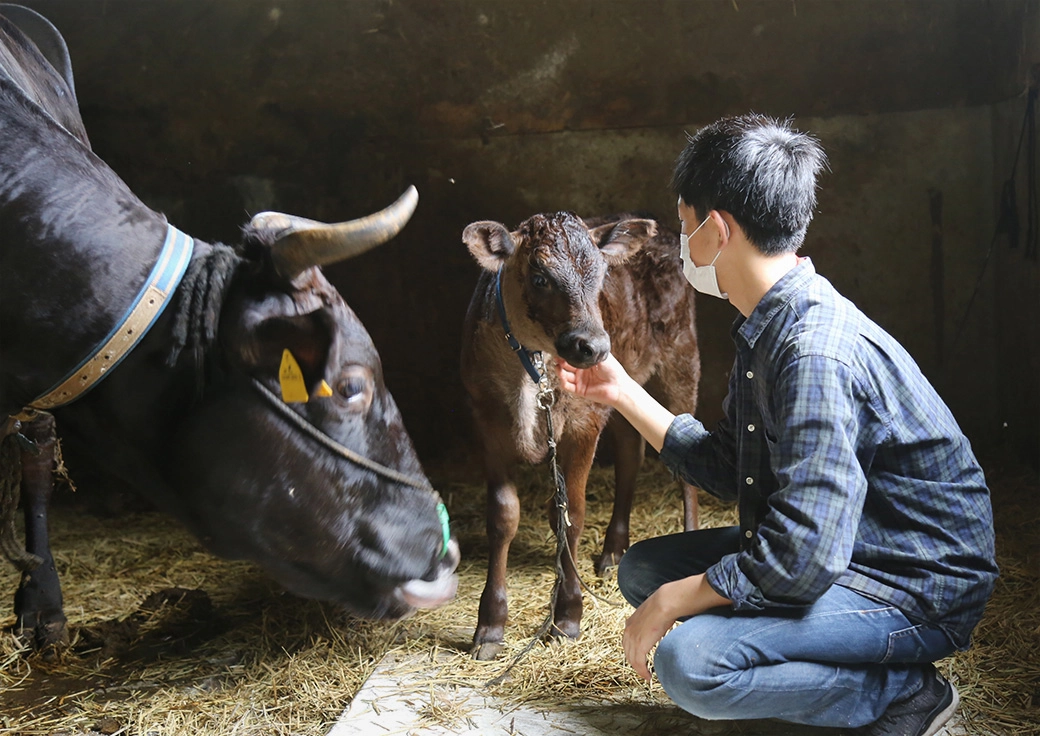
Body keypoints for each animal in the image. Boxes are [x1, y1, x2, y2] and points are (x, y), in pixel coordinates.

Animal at [461, 209, 698, 656]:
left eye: (602, 275)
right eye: (539, 277)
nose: (594, 347)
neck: (532, 365)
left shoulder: (583, 422)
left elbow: (571, 514)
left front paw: (568, 614)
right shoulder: (486, 418)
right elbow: (503, 517)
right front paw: (491, 624)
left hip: (682, 359)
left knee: (686, 462)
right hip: (625, 384)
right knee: (630, 452)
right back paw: (613, 550)